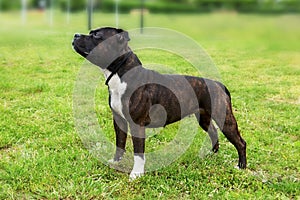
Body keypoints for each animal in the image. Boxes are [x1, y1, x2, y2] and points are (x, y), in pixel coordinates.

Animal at [72, 27, 246, 180]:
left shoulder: (137, 124)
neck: (120, 74)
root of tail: (218, 84)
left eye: (96, 35)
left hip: (224, 118)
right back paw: (212, 154)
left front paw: (136, 174)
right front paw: (115, 162)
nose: (75, 35)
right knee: (213, 132)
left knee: (240, 142)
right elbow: (119, 143)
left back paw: (241, 167)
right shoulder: (119, 120)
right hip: (203, 117)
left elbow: (138, 153)